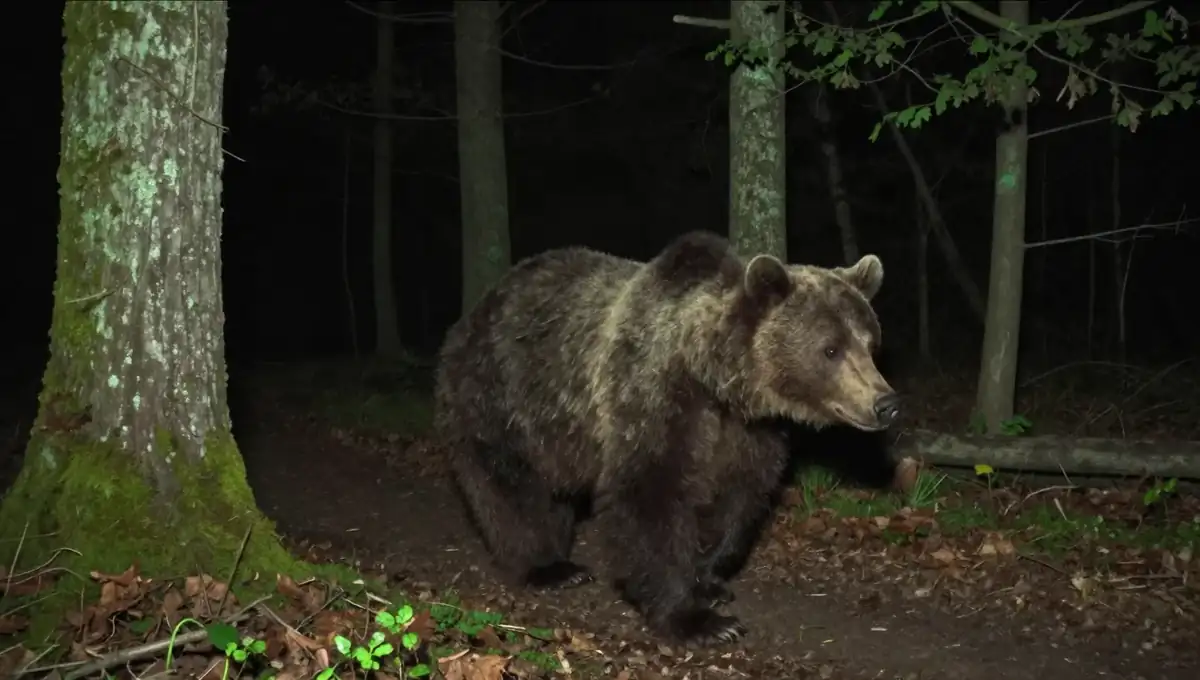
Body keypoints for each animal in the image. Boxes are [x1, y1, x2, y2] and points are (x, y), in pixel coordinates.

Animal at [433, 230, 899, 647]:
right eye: (831, 349)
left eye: (871, 343)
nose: (886, 403)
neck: (713, 378)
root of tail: (478, 307)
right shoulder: (652, 396)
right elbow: (651, 497)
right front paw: (699, 621)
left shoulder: (750, 432)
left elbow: (736, 500)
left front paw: (708, 579)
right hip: (500, 394)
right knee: (510, 487)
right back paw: (549, 567)